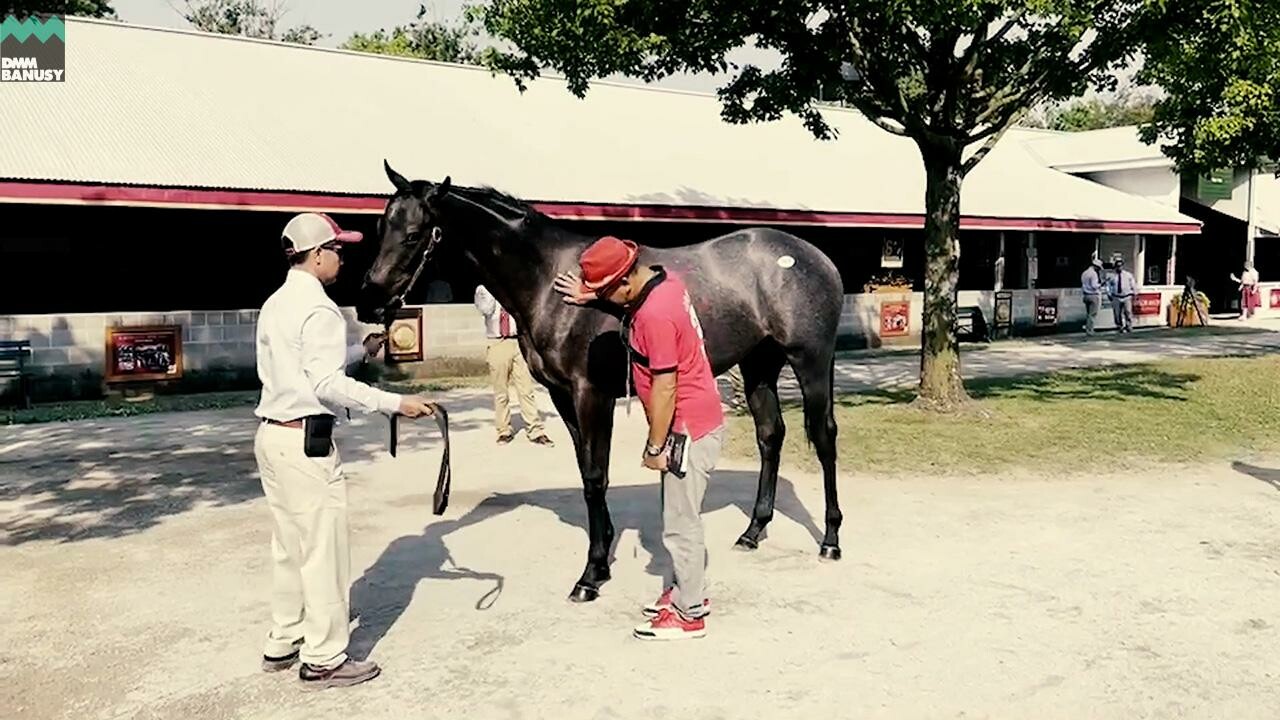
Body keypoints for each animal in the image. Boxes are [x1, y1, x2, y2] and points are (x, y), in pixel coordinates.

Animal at [355, 162, 844, 599]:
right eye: (381, 226)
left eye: (415, 235)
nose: (368, 302)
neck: (549, 280)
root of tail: (815, 257)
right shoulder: (562, 396)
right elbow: (588, 471)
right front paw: (603, 553)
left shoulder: (592, 393)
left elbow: (595, 475)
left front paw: (590, 575)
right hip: (758, 365)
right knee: (770, 436)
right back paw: (753, 530)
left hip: (811, 360)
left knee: (823, 436)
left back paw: (830, 540)